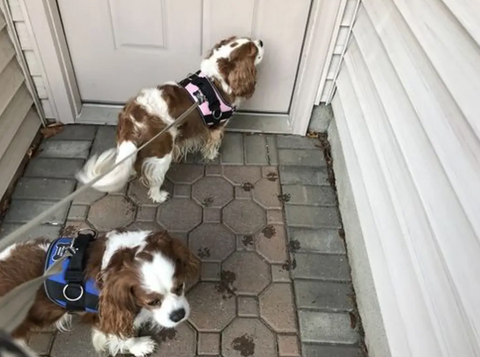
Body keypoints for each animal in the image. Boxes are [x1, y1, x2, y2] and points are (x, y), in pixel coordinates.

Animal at [75, 36, 264, 203]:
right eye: (254, 50)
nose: (261, 41)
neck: (214, 79)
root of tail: (131, 119)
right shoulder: (217, 127)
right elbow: (212, 143)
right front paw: (211, 155)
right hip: (162, 153)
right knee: (153, 179)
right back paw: (158, 195)